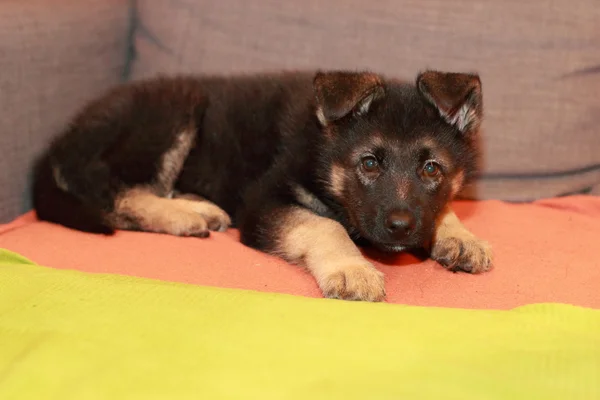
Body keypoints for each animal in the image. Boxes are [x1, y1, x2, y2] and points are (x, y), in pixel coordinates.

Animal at [31, 69, 492, 300]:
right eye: (369, 163)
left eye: (431, 169)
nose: (400, 228)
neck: (322, 146)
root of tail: (58, 144)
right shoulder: (262, 201)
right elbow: (325, 225)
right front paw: (351, 269)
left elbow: (442, 209)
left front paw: (459, 236)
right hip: (175, 106)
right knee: (115, 192)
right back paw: (184, 216)